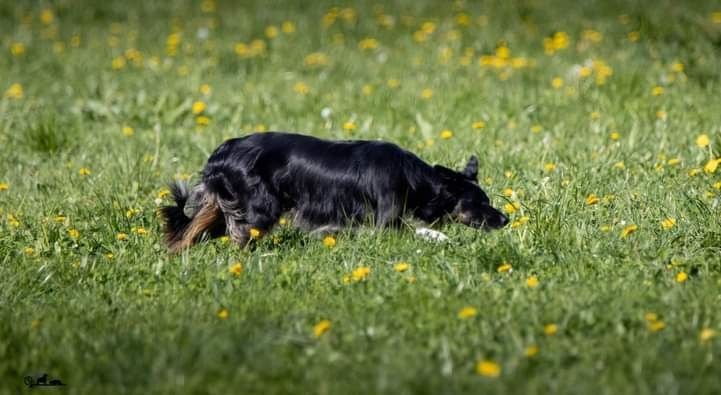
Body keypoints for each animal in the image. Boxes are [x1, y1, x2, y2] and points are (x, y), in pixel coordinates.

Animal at [161, 131, 506, 252]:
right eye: (478, 203)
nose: (505, 219)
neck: (414, 178)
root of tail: (223, 151)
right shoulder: (386, 221)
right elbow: (416, 231)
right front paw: (441, 238)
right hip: (259, 209)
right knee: (238, 239)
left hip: (223, 208)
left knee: (186, 234)